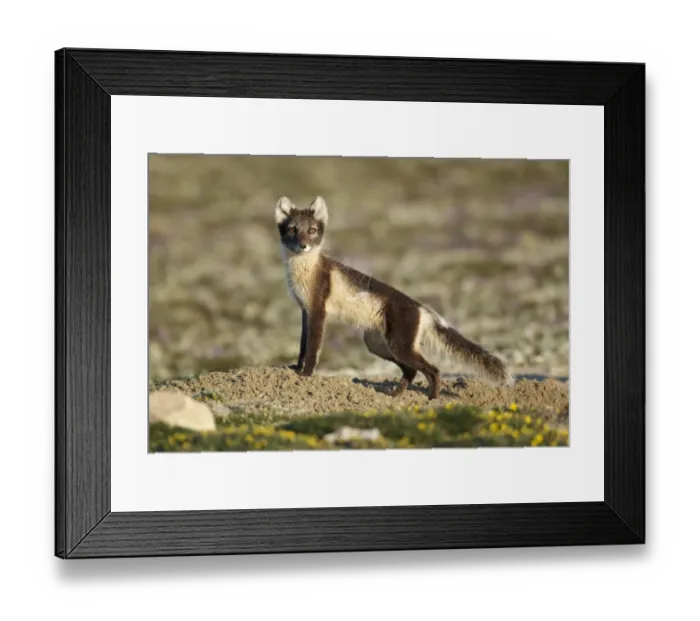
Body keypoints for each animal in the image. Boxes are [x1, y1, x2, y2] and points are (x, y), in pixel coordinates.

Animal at [275, 195, 514, 400]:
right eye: (292, 229)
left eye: (312, 230)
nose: (303, 245)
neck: (303, 272)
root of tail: (423, 310)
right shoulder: (305, 310)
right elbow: (303, 345)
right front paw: (296, 368)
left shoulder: (318, 309)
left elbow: (313, 348)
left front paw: (305, 375)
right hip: (380, 345)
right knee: (411, 371)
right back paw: (395, 396)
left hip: (399, 346)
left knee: (433, 370)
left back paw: (432, 399)